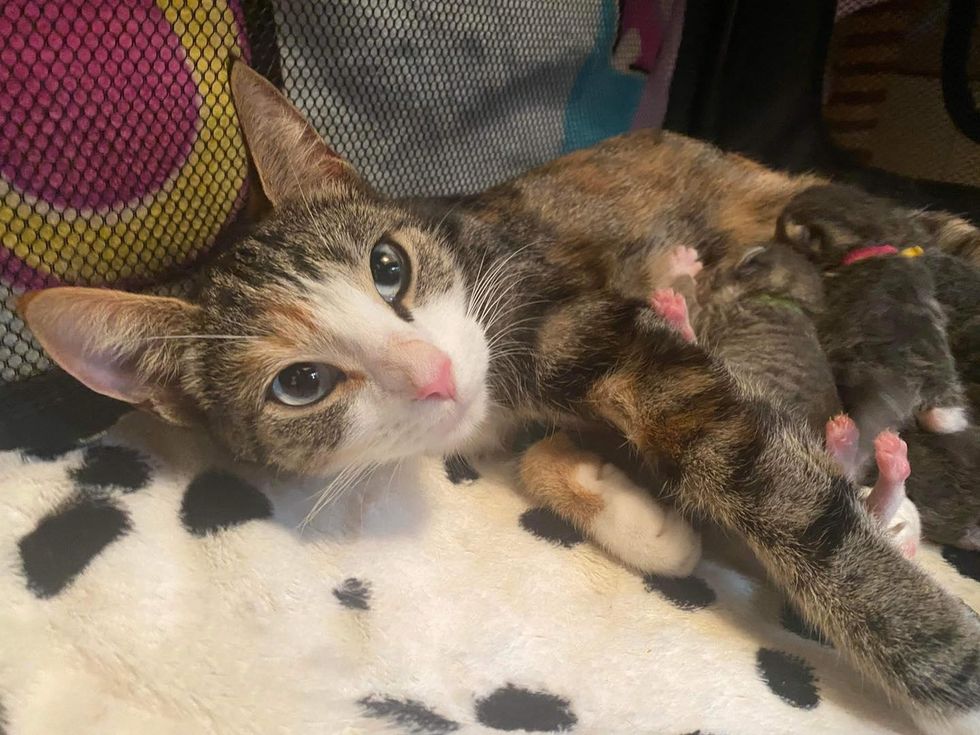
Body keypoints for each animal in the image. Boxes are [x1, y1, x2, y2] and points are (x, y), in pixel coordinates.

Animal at [13, 61, 980, 732]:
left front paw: (946, 667)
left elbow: (757, 474)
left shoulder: (582, 318)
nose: (433, 372)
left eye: (388, 265)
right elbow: (551, 456)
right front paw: (644, 519)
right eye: (300, 383)